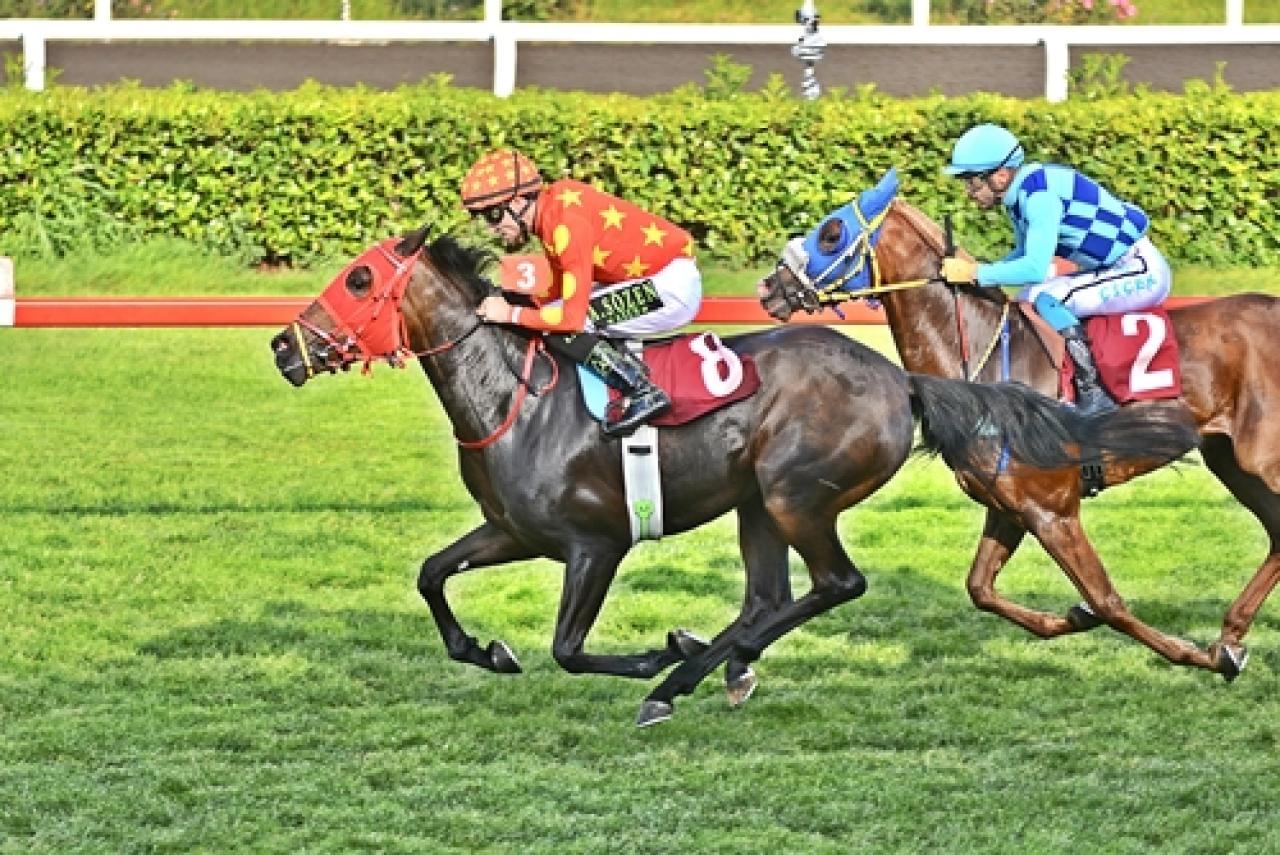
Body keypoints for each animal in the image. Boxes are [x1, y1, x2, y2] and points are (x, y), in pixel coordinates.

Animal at [270, 225, 1198, 721]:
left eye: (358, 277)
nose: (283, 345)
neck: (518, 398)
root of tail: (898, 377)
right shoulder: (511, 529)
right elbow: (432, 574)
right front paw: (485, 650)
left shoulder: (595, 543)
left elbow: (570, 647)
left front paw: (652, 653)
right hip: (757, 502)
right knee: (767, 599)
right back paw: (708, 663)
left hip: (794, 494)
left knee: (832, 585)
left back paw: (681, 673)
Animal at [762, 200, 1274, 680]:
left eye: (832, 233)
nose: (769, 287)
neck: (984, 368)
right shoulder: (1009, 507)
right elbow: (981, 588)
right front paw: (1074, 618)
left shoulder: (1053, 511)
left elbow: (1106, 600)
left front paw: (1198, 655)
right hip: (1232, 462)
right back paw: (1231, 632)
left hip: (1261, 460)